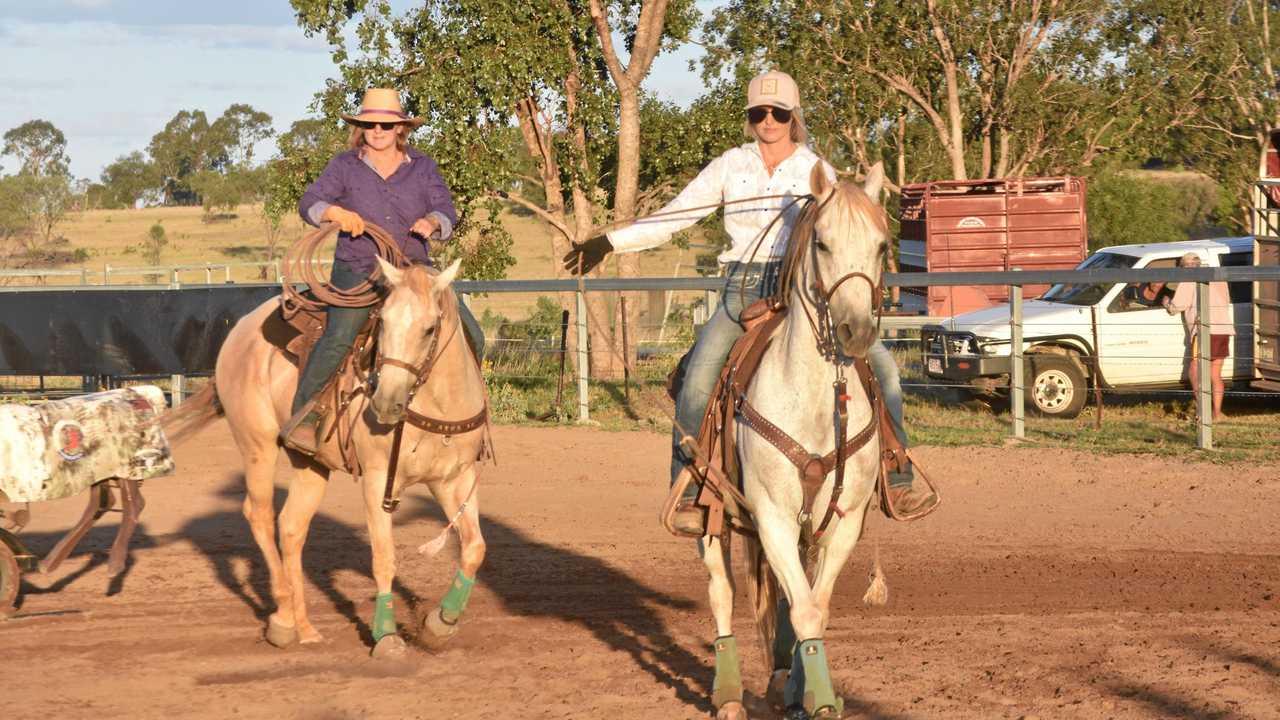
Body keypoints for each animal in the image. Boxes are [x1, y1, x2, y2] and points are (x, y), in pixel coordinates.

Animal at [207, 256, 486, 655]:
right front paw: (386, 635)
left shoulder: (455, 479)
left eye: (430, 328)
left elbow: (474, 548)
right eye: (383, 322)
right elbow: (384, 557)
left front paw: (440, 624)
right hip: (256, 446)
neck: (436, 402)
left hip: (311, 463)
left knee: (291, 526)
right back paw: (283, 621)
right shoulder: (378, 480)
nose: (385, 403)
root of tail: (242, 327)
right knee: (259, 515)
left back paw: (305, 628)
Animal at [701, 162, 890, 717]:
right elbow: (803, 610)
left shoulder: (843, 520)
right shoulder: (772, 516)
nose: (855, 331)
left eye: (881, 246)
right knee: (721, 590)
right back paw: (727, 694)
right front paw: (822, 699)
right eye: (822, 243)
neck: (816, 403)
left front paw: (809, 690)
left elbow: (813, 607)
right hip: (711, 512)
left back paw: (785, 678)